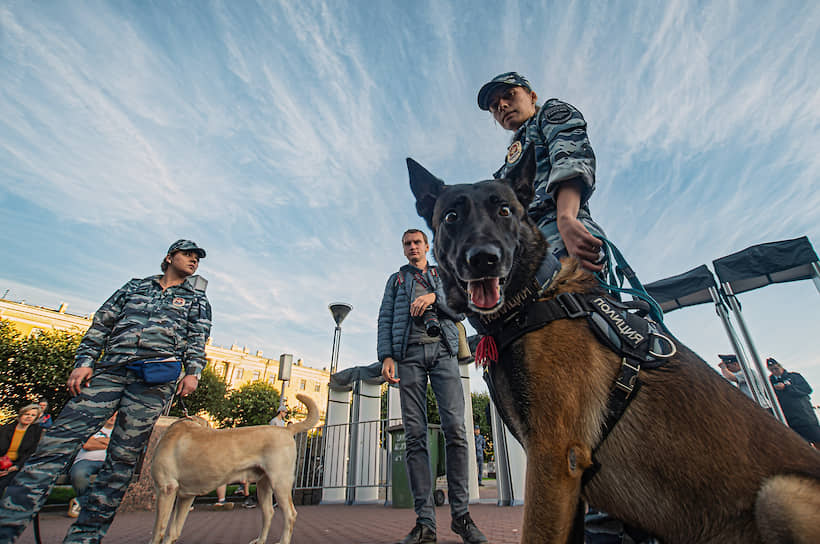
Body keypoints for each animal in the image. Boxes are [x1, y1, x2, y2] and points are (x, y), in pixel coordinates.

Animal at [149, 396, 318, 544]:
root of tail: (287, 430)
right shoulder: (186, 497)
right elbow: (173, 530)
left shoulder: (166, 489)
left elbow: (159, 531)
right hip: (263, 485)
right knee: (269, 513)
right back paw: (260, 540)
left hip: (280, 482)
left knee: (290, 514)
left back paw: (282, 541)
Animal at [406, 146, 820, 544]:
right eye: (451, 217)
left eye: (505, 210)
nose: (483, 260)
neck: (534, 298)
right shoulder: (566, 480)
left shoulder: (554, 456)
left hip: (778, 494)